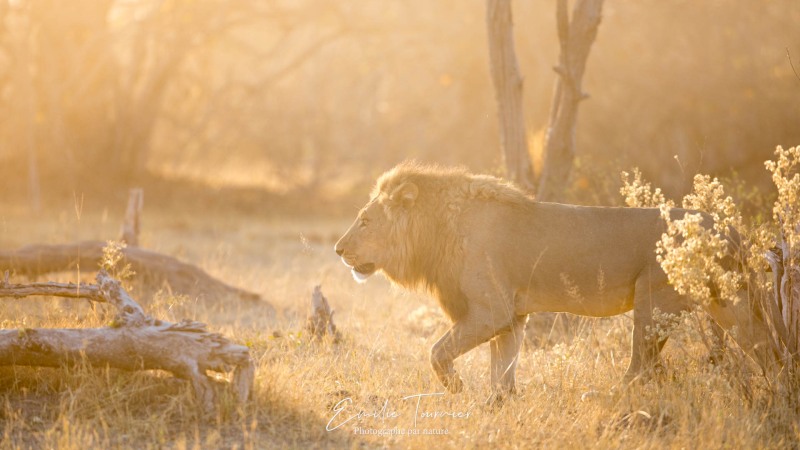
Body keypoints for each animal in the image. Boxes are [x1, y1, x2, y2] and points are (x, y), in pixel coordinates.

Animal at [334, 161, 780, 400]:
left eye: (365, 221)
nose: (338, 249)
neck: (436, 232)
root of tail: (727, 227)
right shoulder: (511, 318)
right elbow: (503, 371)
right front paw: (497, 407)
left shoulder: (491, 311)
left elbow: (436, 351)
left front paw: (457, 390)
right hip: (727, 303)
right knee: (765, 344)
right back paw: (776, 387)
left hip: (652, 302)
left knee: (641, 367)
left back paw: (606, 397)